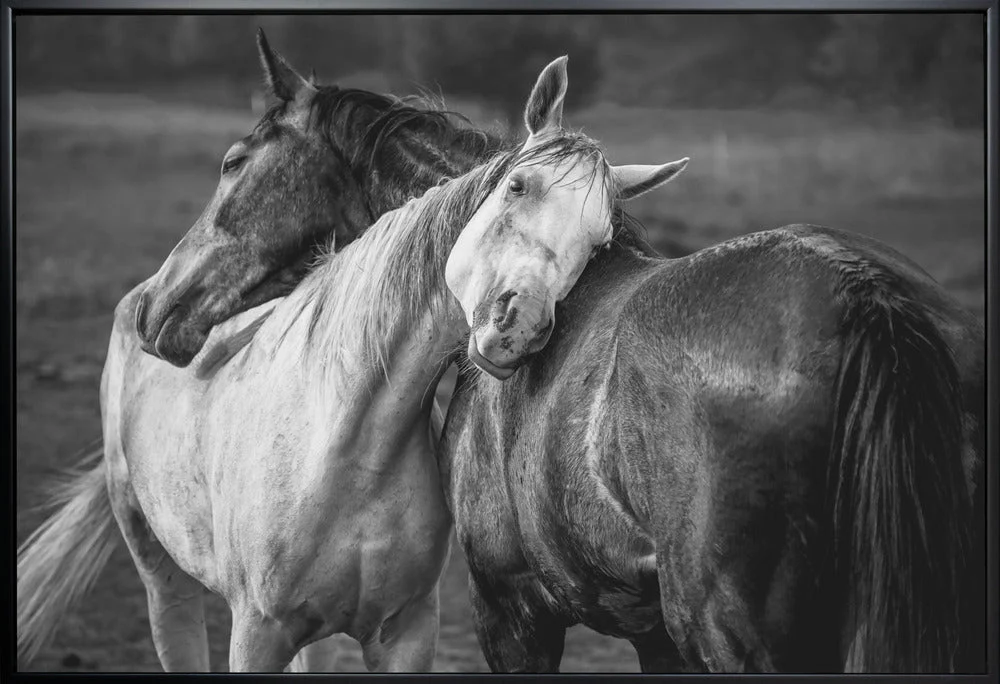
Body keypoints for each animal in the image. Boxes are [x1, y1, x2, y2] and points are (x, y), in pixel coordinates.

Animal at [16, 45, 685, 672]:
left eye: (599, 241)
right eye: (517, 186)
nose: (517, 325)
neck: (347, 438)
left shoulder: (414, 631)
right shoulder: (257, 632)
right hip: (162, 577)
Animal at [439, 60, 986, 673]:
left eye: (597, 237)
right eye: (516, 186)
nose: (521, 325)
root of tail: (862, 288)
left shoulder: (509, 608)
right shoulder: (651, 633)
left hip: (721, 625)